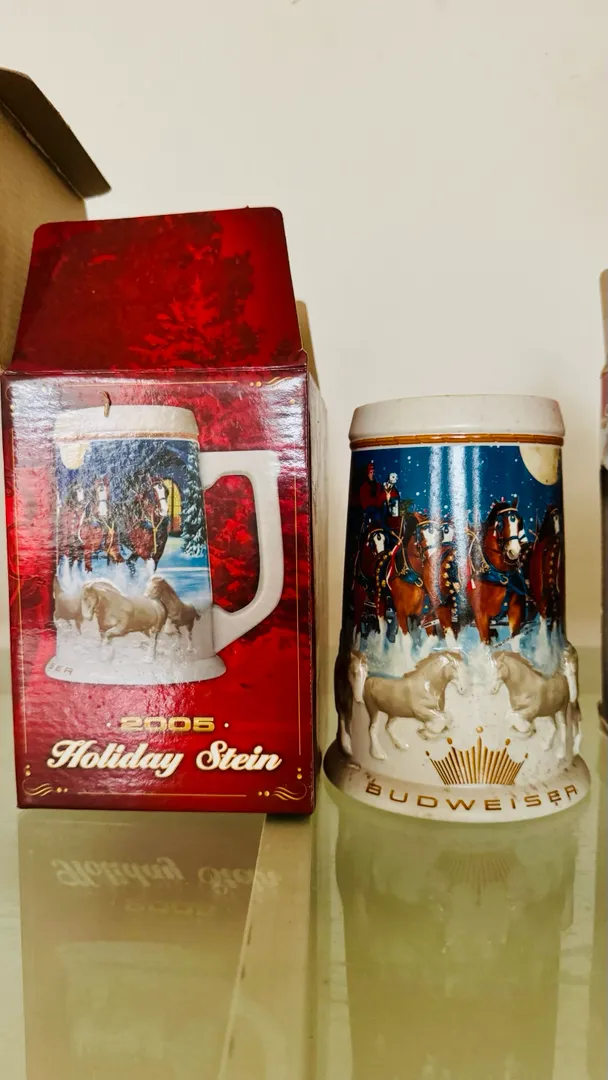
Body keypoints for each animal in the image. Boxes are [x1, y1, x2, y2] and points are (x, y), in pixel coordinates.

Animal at [466, 500, 529, 645]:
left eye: (520, 522)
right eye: (500, 524)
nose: (514, 551)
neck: (500, 576)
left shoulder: (515, 611)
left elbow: (514, 640)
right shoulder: (480, 615)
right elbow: (485, 643)